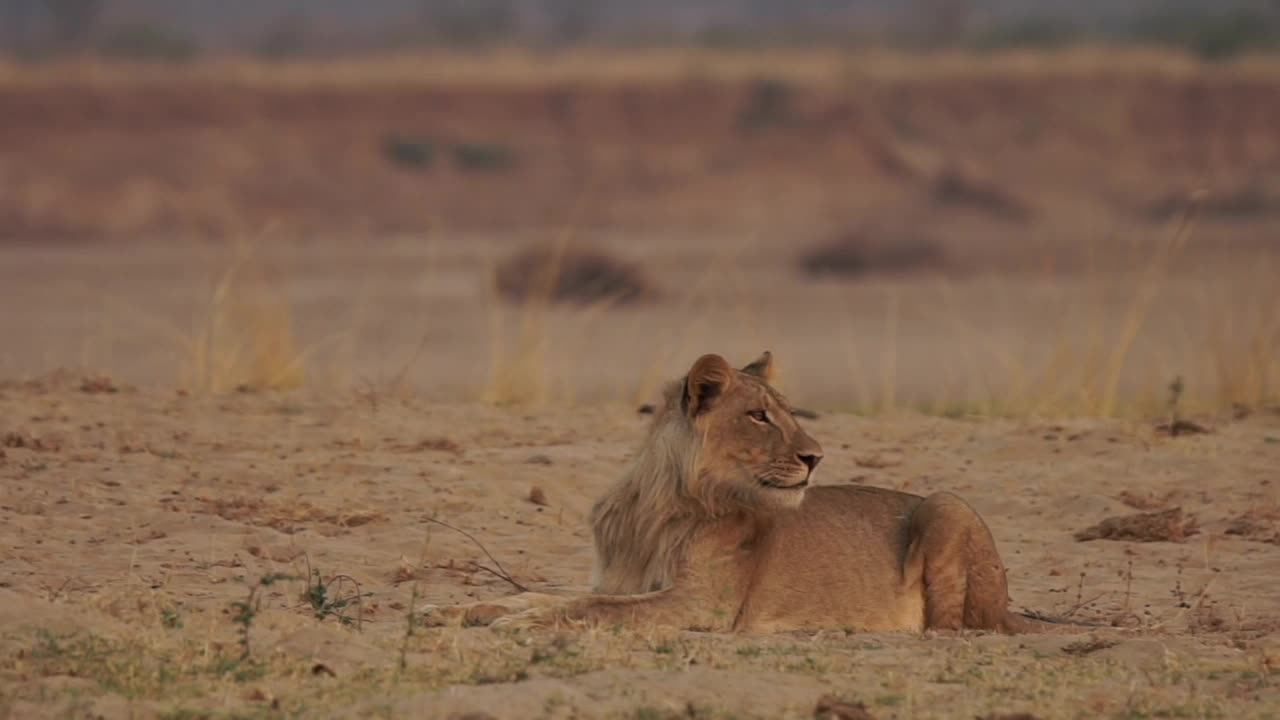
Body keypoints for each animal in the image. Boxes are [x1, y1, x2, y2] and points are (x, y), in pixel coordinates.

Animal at [440, 351, 1080, 630]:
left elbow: (587, 608)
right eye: (759, 416)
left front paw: (513, 625)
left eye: (789, 413)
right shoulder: (617, 580)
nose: (816, 457)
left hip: (948, 504)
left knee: (953, 628)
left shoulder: (704, 605)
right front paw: (461, 609)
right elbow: (545, 594)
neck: (659, 503)